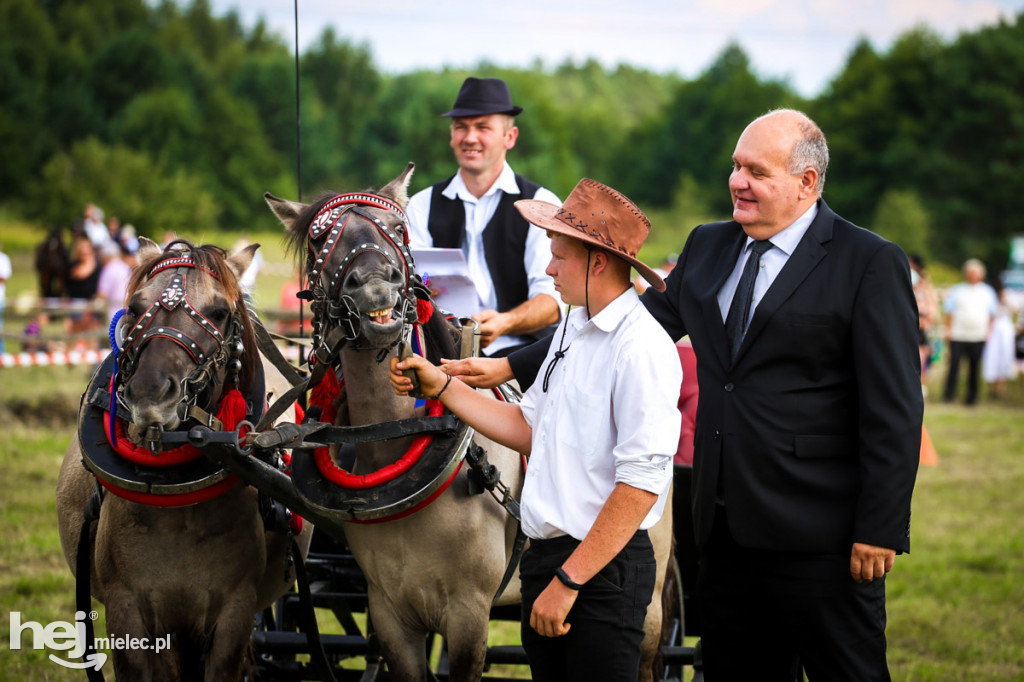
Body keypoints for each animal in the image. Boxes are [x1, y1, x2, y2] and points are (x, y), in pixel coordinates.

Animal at [55, 237, 309, 679]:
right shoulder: (127, 611)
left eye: (220, 311)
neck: (179, 507)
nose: (151, 394)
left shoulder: (234, 614)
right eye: (136, 307)